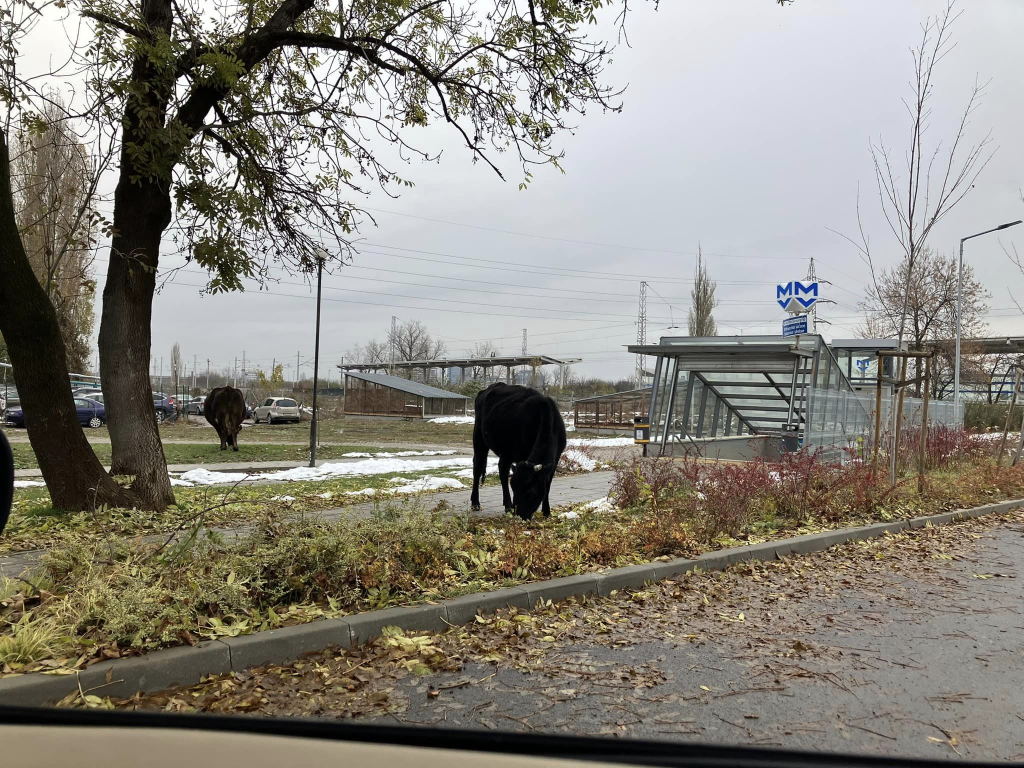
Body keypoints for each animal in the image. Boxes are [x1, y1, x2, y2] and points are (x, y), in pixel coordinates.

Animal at [471, 385, 569, 524]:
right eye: (514, 488)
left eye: (530, 490)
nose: (520, 515)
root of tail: (488, 389)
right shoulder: (520, 455)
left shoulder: (555, 459)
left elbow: (547, 484)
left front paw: (547, 512)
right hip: (479, 438)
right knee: (478, 467)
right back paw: (476, 503)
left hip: (506, 452)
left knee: (502, 471)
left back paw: (508, 506)